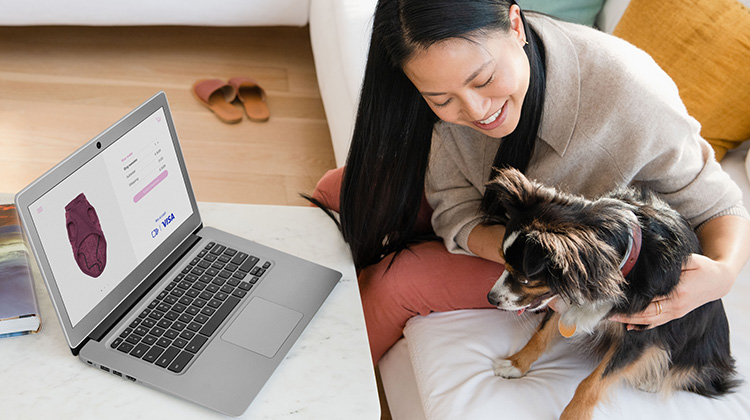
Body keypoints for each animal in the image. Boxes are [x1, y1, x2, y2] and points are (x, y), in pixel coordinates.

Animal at [484, 167, 736, 420]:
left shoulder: (641, 332)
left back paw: (653, 381)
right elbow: (540, 335)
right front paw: (516, 364)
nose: (490, 298)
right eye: (503, 262)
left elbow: (593, 381)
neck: (620, 267)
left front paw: (572, 416)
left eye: (524, 279)